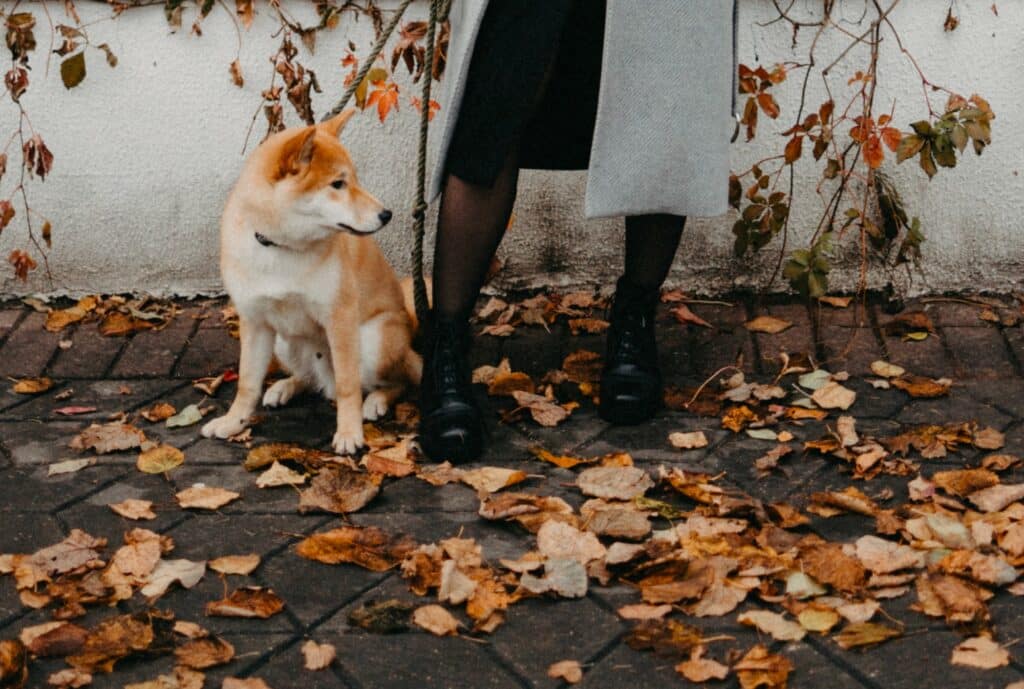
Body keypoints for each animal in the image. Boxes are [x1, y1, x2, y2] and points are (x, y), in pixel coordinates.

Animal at [199, 110, 419, 454]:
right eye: (338, 184)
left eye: (355, 179)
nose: (387, 214)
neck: (280, 248)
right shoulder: (255, 321)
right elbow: (247, 383)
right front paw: (233, 422)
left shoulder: (340, 316)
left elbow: (348, 386)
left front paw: (349, 432)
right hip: (284, 341)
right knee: (310, 379)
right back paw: (285, 387)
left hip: (375, 339)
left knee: (394, 381)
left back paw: (375, 401)